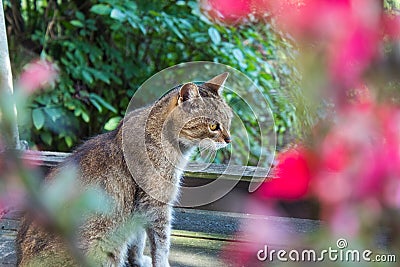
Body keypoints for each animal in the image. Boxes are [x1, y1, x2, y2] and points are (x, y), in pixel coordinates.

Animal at [15, 73, 233, 267]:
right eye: (214, 126)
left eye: (229, 121)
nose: (229, 139)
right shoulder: (156, 206)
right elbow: (161, 247)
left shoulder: (140, 210)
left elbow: (138, 241)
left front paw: (138, 261)